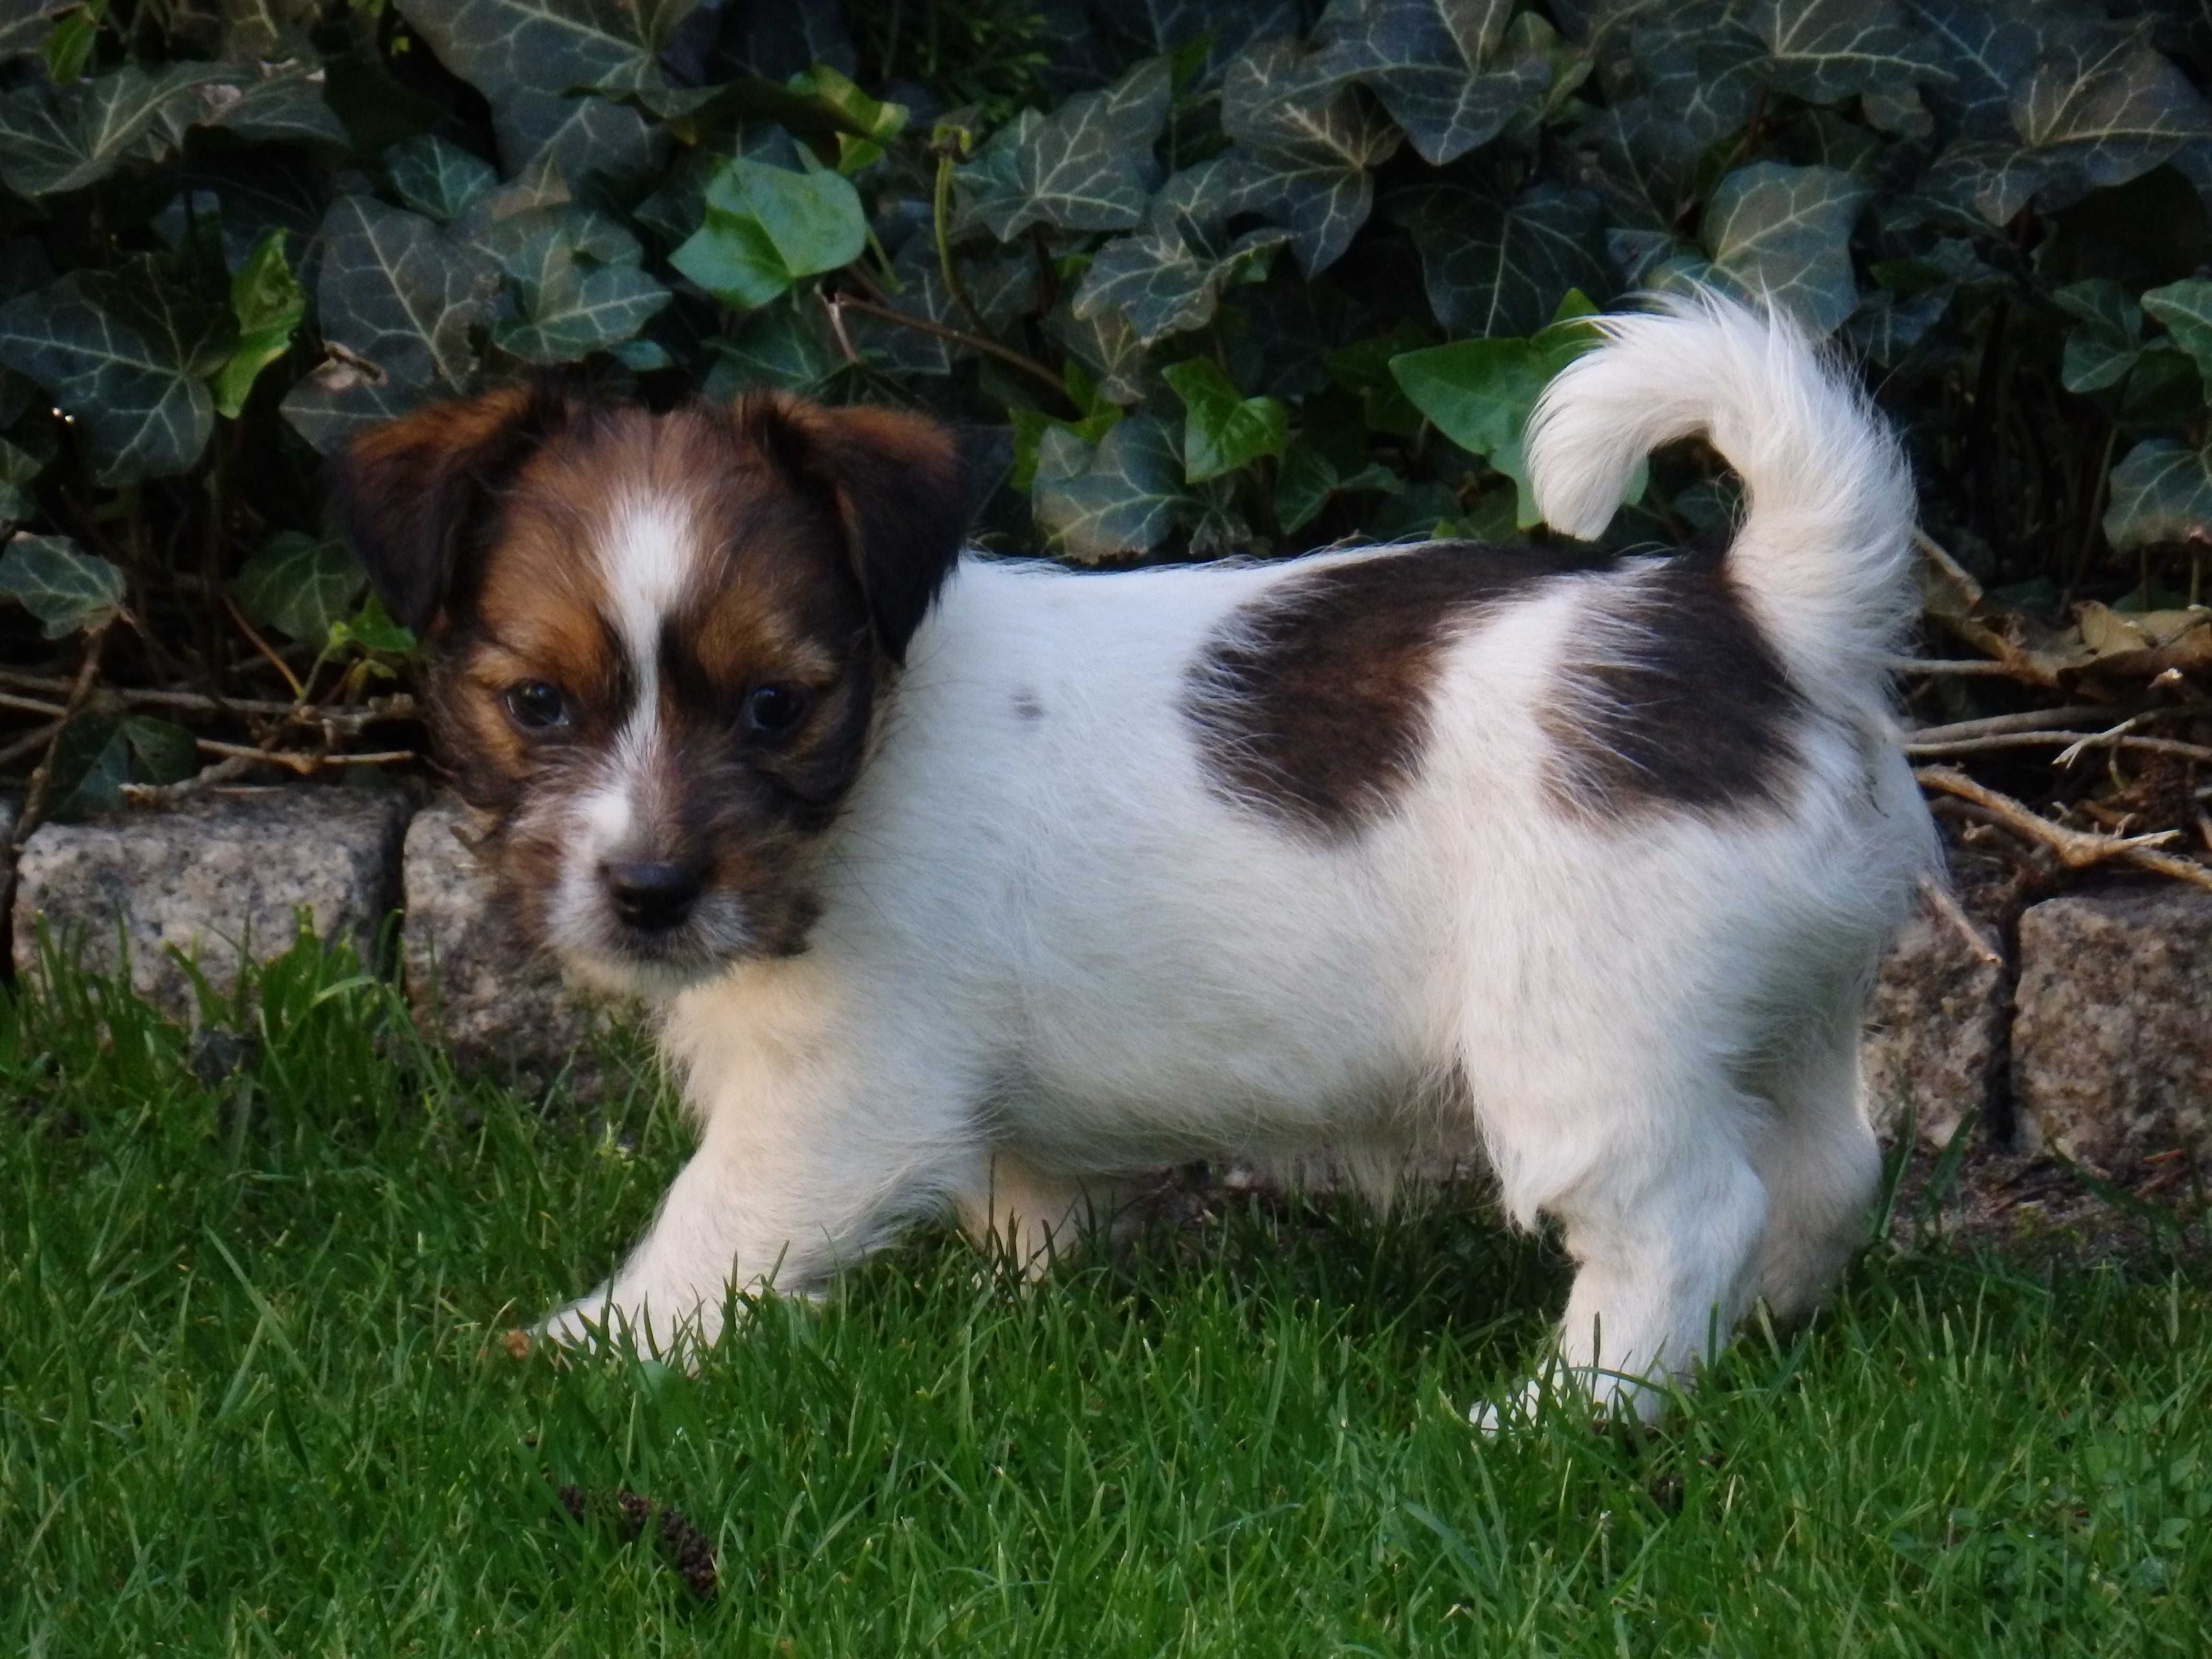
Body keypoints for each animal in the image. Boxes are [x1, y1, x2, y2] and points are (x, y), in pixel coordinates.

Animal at [332, 292, 1937, 1424]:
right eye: (539, 704)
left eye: (777, 706)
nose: (653, 896)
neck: (882, 741)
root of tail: (1757, 618)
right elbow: (1027, 1213)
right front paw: (1026, 1324)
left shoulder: (836, 1101)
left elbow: (709, 1229)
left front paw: (577, 1352)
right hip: (1776, 1000)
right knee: (1823, 1172)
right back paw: (1759, 1337)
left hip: (1586, 1029)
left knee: (1686, 1214)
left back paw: (1563, 1414)